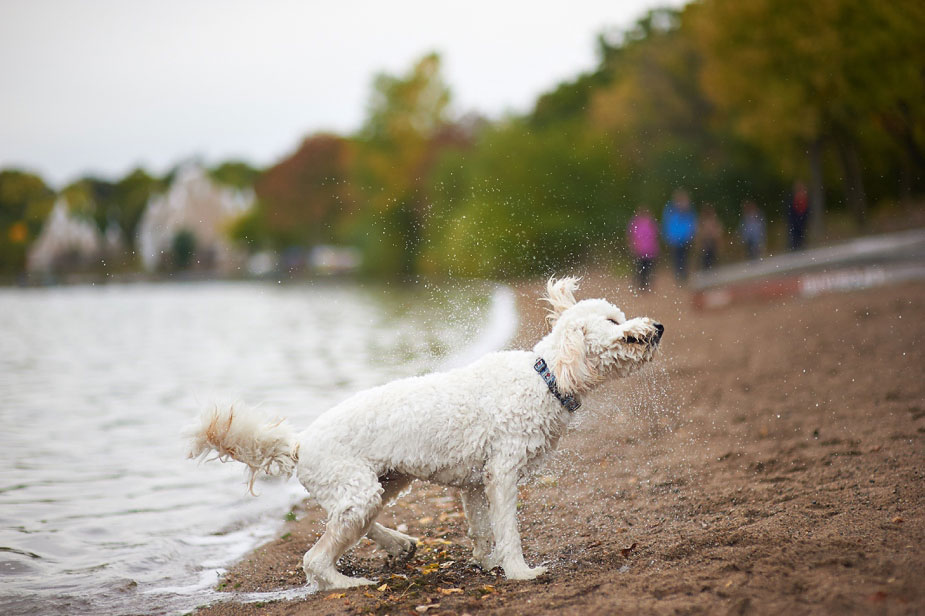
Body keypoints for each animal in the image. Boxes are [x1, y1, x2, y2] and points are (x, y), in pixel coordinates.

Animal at [188, 276, 660, 588]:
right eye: (613, 320)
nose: (657, 327)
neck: (545, 379)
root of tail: (300, 443)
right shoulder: (503, 474)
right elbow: (508, 530)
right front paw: (520, 571)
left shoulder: (476, 483)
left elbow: (482, 529)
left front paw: (486, 563)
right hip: (360, 489)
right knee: (314, 558)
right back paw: (347, 584)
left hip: (382, 484)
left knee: (352, 523)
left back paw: (398, 545)